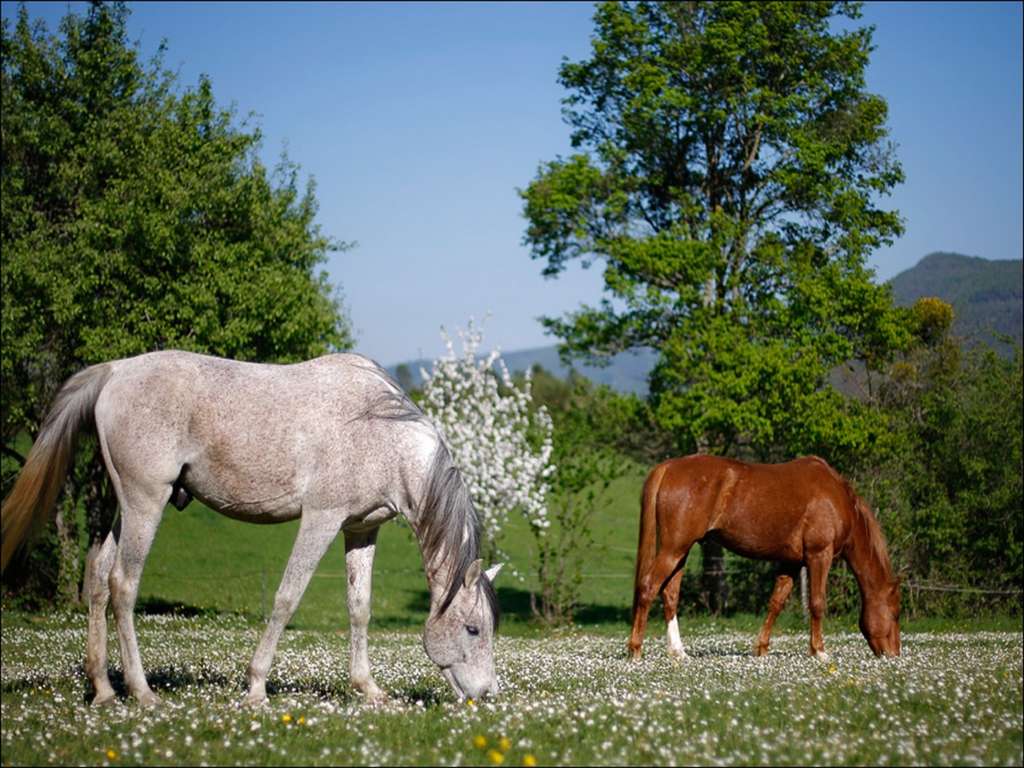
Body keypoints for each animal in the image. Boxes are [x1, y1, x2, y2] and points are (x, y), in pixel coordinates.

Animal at [1, 352, 503, 708]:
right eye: (473, 629)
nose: (484, 694)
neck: (382, 434)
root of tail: (116, 370)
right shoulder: (320, 520)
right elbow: (286, 598)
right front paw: (257, 687)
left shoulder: (361, 530)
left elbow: (359, 608)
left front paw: (368, 688)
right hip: (146, 502)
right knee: (123, 584)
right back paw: (142, 692)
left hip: (125, 508)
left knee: (98, 575)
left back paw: (104, 689)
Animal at [626, 456, 901, 663]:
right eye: (896, 613)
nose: (893, 655)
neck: (835, 497)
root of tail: (668, 467)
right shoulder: (819, 555)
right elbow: (817, 603)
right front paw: (819, 651)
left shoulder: (792, 562)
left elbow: (776, 603)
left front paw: (762, 649)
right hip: (673, 549)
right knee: (648, 587)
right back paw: (635, 649)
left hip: (680, 552)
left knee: (670, 594)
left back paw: (678, 652)